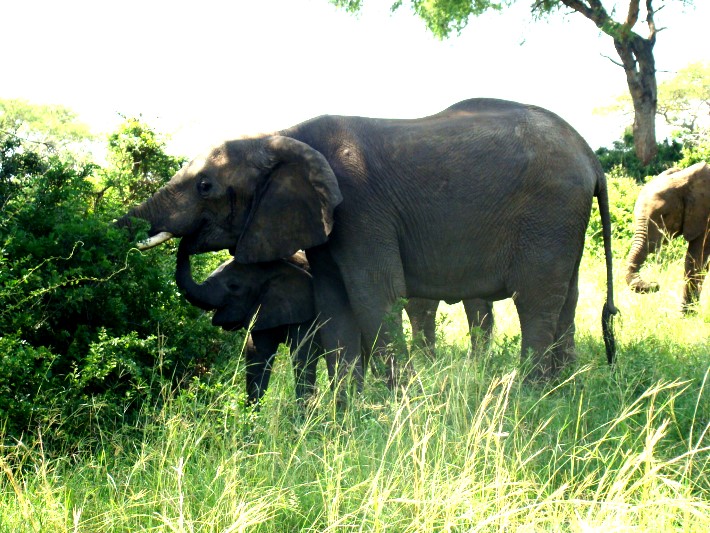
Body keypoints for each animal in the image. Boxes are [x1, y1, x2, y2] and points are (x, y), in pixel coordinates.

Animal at [119, 96, 620, 386]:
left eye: (205, 186)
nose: (183, 240)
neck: (280, 135)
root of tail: (590, 156)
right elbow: (334, 303)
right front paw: (350, 419)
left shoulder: (361, 210)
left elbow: (372, 295)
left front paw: (399, 408)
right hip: (562, 220)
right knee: (566, 299)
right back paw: (561, 393)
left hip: (549, 210)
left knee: (535, 300)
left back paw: (527, 398)